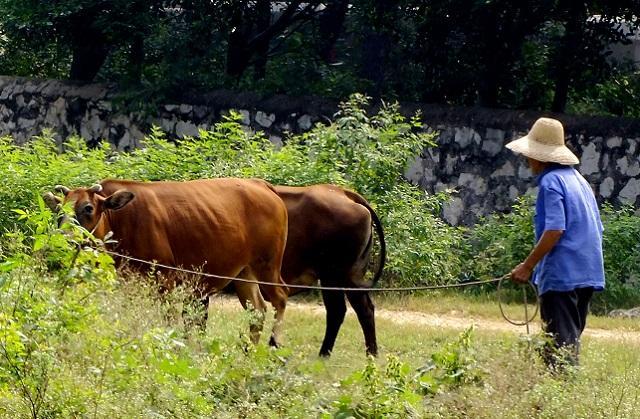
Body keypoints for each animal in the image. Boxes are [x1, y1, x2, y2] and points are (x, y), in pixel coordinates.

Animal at [47, 179, 290, 346]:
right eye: (59, 210)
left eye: (88, 208)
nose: (65, 238)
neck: (123, 220)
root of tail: (262, 184)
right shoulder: (129, 284)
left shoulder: (166, 280)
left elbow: (169, 321)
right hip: (244, 271)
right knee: (257, 310)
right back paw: (247, 351)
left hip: (268, 264)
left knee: (281, 297)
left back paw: (274, 344)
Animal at [276, 185, 384, 358]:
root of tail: (342, 192)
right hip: (350, 277)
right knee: (364, 309)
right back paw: (371, 354)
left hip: (333, 276)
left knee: (339, 310)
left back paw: (325, 353)